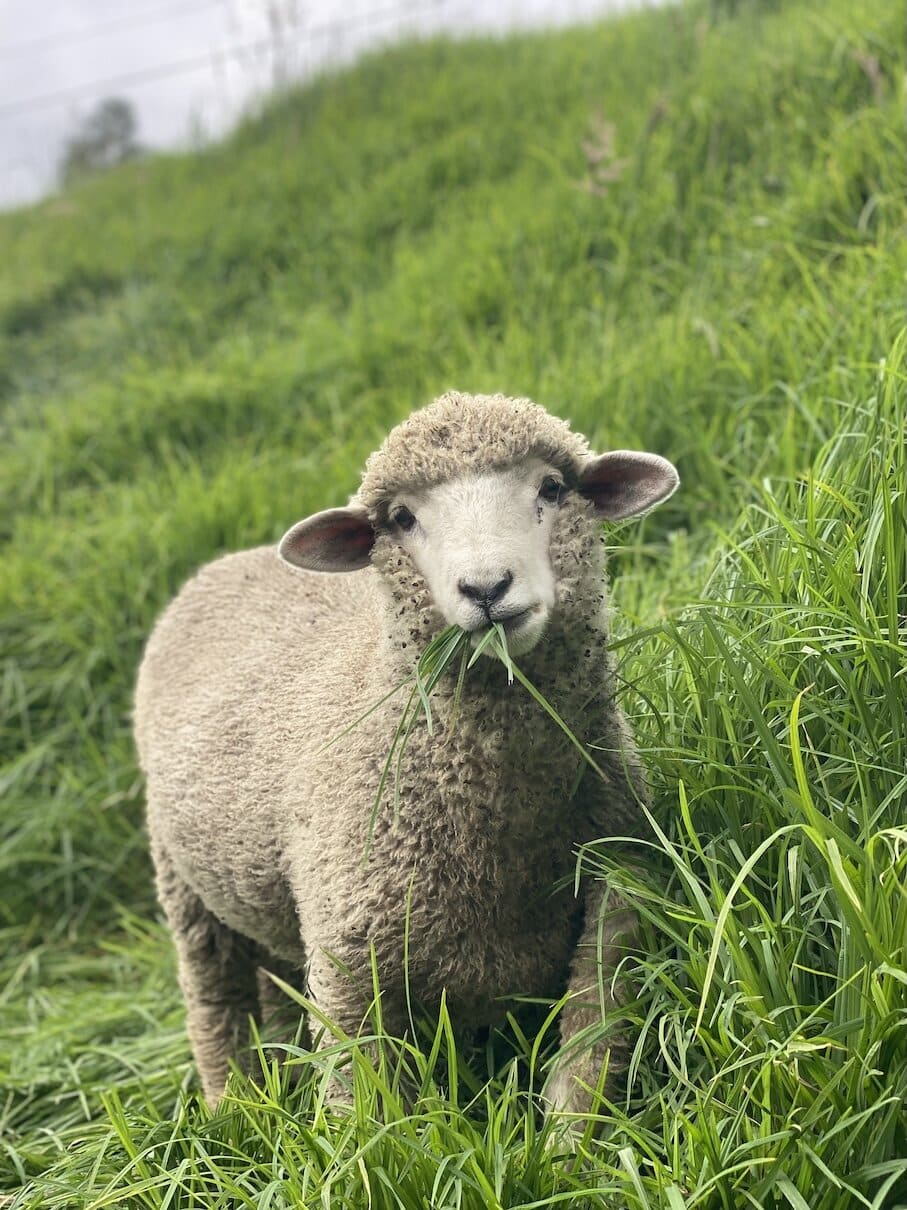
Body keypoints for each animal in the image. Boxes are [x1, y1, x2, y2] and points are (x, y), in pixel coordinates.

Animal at [134, 390, 678, 1115]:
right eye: (402, 518)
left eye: (552, 488)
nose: (487, 587)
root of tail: (221, 562)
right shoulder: (347, 967)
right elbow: (365, 1108)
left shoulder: (615, 890)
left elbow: (589, 1052)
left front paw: (572, 1142)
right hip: (183, 886)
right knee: (215, 1003)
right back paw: (233, 1110)